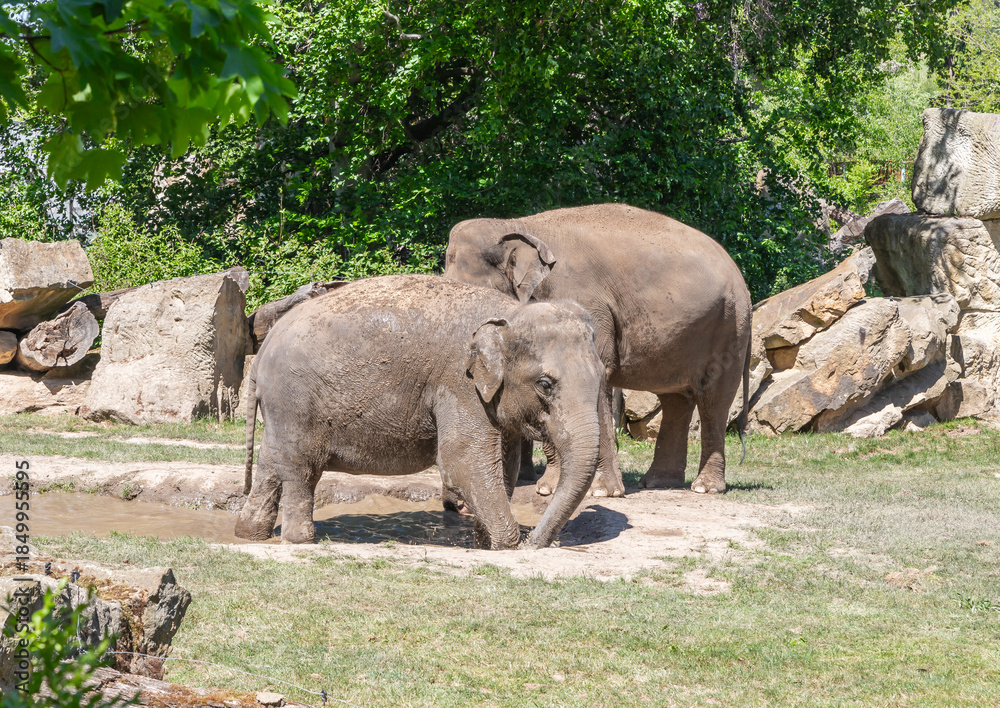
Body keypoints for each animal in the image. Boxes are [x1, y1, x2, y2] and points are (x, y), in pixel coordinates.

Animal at [234, 274, 605, 549]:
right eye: (545, 384)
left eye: (602, 375)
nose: (536, 542)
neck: (510, 313)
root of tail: (261, 353)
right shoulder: (458, 384)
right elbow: (462, 460)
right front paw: (508, 546)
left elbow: (504, 466)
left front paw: (486, 544)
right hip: (294, 402)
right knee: (301, 470)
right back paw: (299, 541)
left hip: (282, 409)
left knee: (271, 465)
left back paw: (249, 535)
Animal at [443, 203, 752, 496]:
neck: (515, 224)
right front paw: (547, 487)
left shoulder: (585, 303)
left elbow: (595, 376)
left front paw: (600, 491)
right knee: (676, 399)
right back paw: (658, 482)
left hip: (730, 325)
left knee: (713, 399)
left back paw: (705, 487)